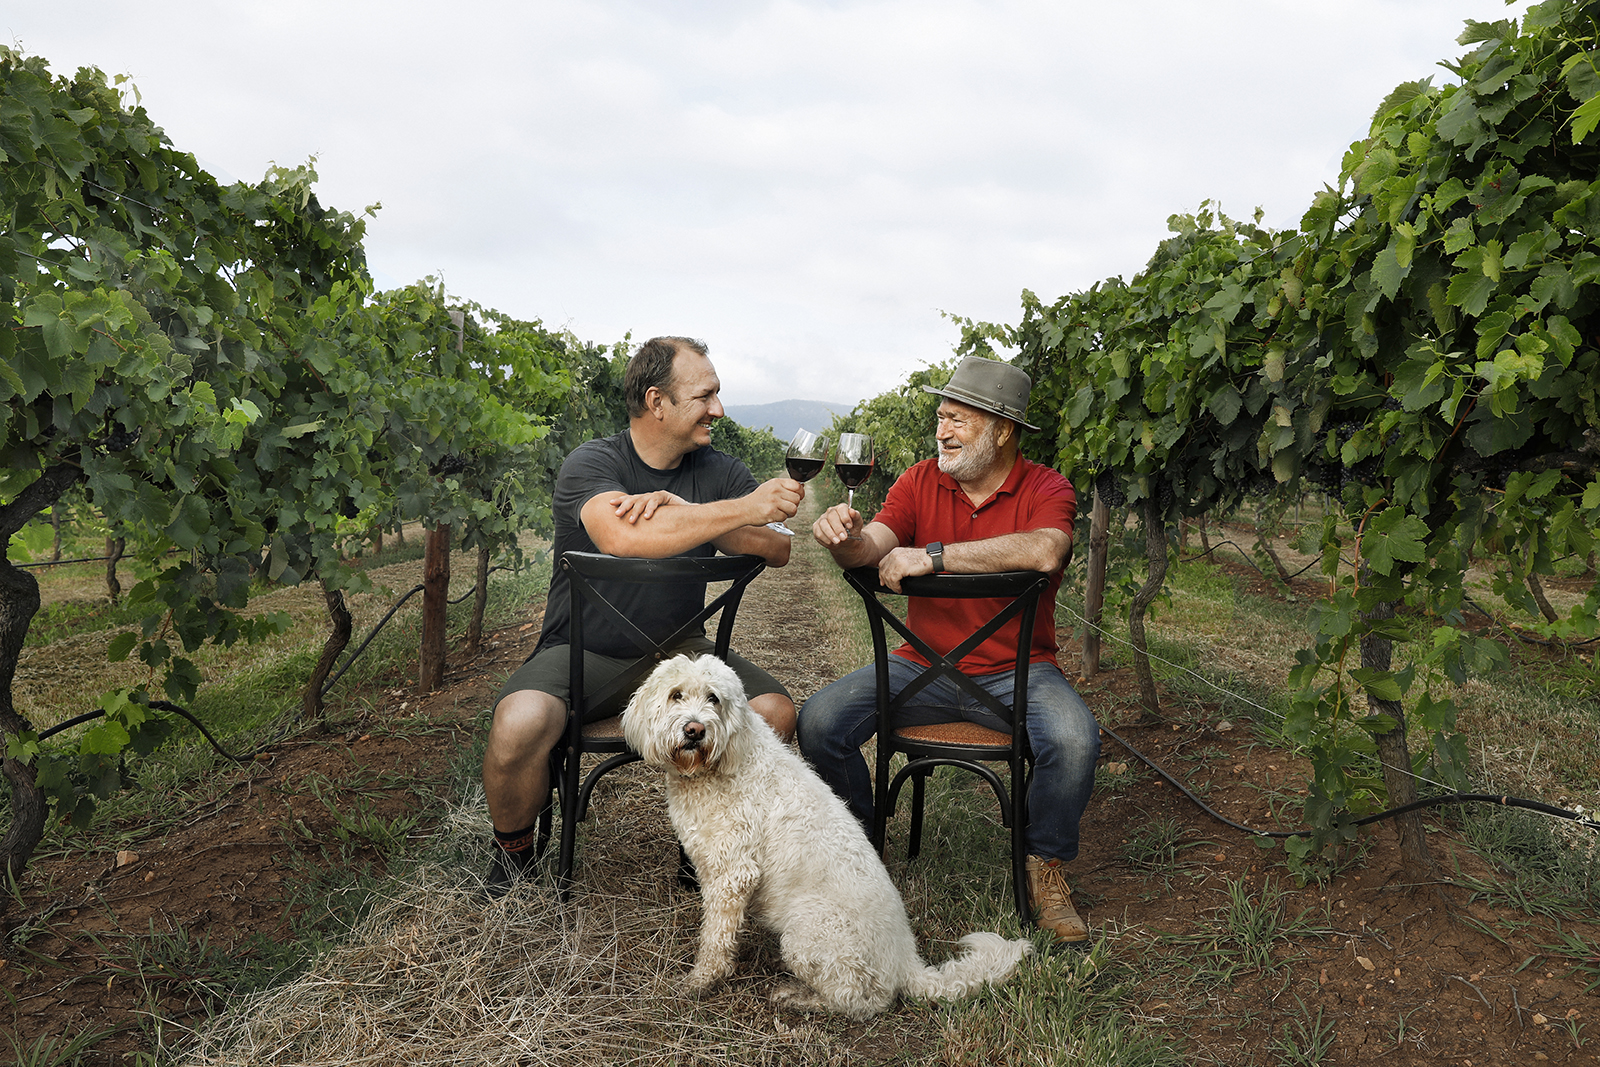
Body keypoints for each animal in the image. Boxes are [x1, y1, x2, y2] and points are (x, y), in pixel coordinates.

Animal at [617, 652, 1030, 1017]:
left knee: (864, 1000)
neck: (723, 762)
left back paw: (800, 997)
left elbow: (715, 938)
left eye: (713, 699)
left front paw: (701, 981)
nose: (694, 730)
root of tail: (906, 962)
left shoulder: (733, 875)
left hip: (808, 932)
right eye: (676, 695)